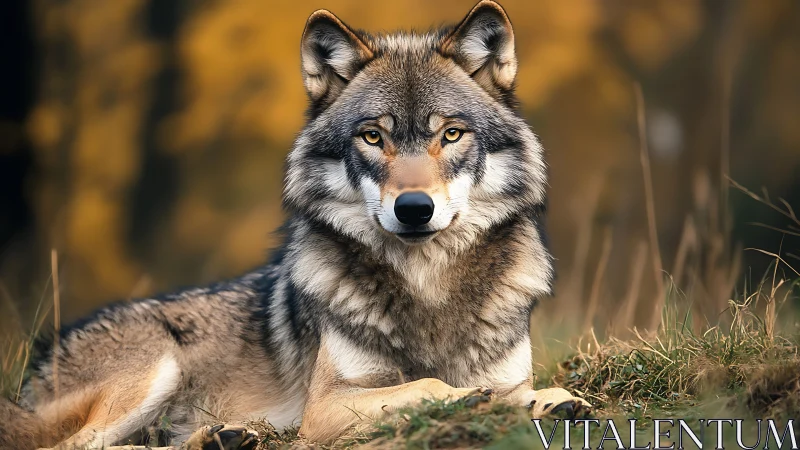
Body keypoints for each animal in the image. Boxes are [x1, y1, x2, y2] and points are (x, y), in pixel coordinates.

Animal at [0, 2, 592, 448]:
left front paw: (546, 400)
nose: (414, 208)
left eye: (450, 134)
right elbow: (421, 384)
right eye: (372, 137)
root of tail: (42, 358)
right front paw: (464, 397)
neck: (427, 285)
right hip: (153, 371)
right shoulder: (324, 408)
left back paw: (225, 437)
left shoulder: (507, 370)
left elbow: (518, 389)